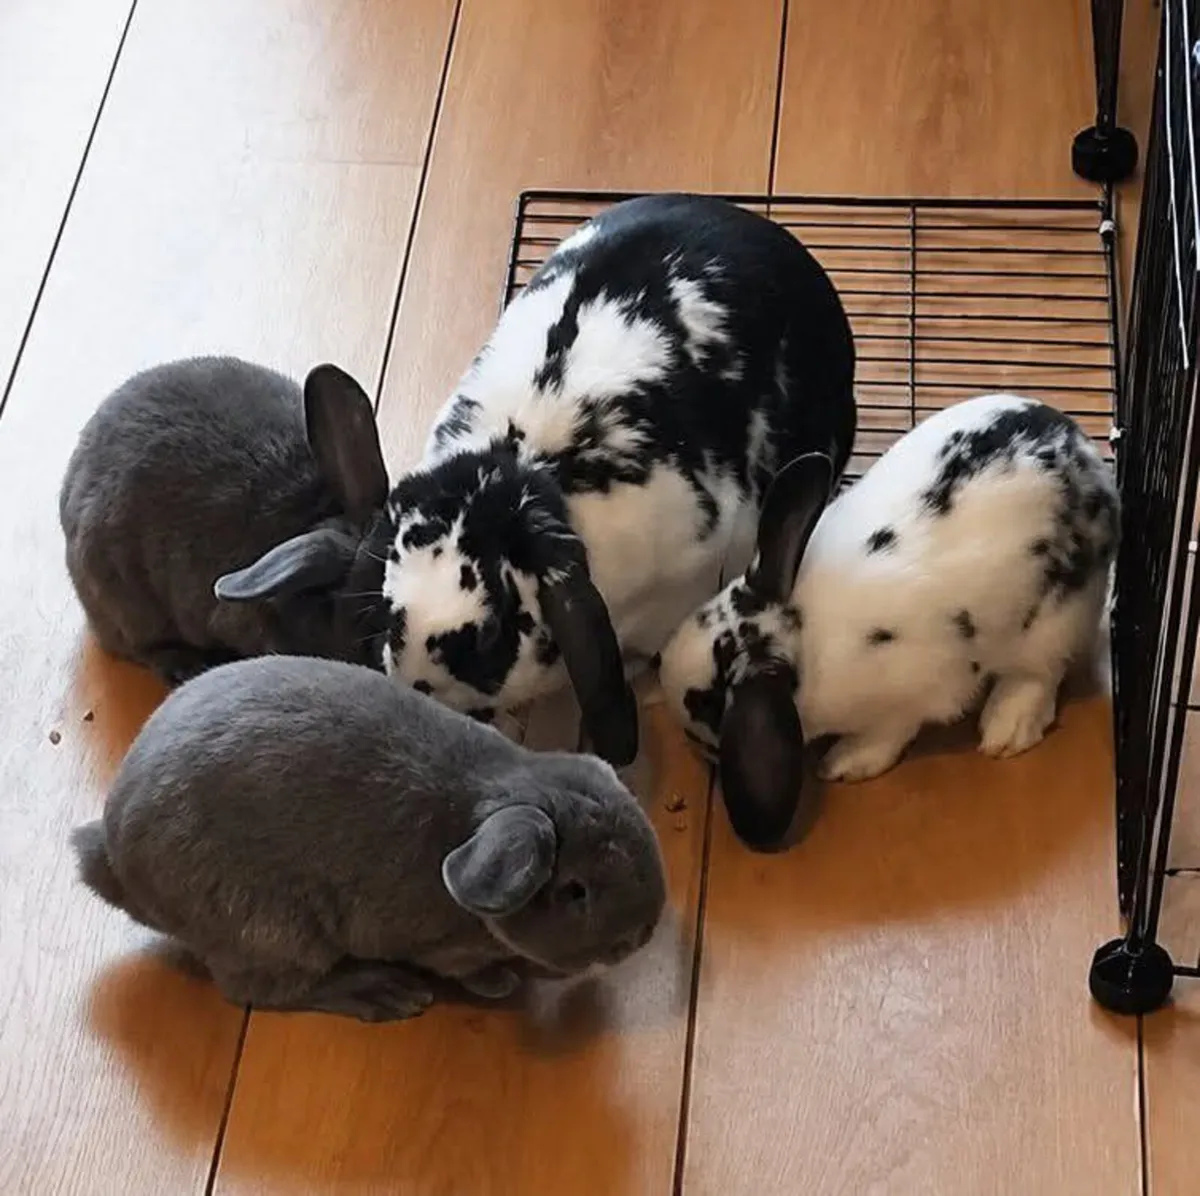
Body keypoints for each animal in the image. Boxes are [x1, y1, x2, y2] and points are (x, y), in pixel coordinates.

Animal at [69, 654, 667, 1022]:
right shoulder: (439, 947)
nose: (642, 934)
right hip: (275, 932)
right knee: (262, 991)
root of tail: (112, 860)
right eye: (575, 891)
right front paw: (500, 982)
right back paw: (382, 992)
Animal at [658, 393, 1120, 851]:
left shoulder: (910, 698)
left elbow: (886, 735)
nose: (664, 678)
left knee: (1039, 674)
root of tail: (1089, 460)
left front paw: (843, 764)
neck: (804, 634)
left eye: (704, 706)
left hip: (1054, 623)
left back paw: (1005, 730)